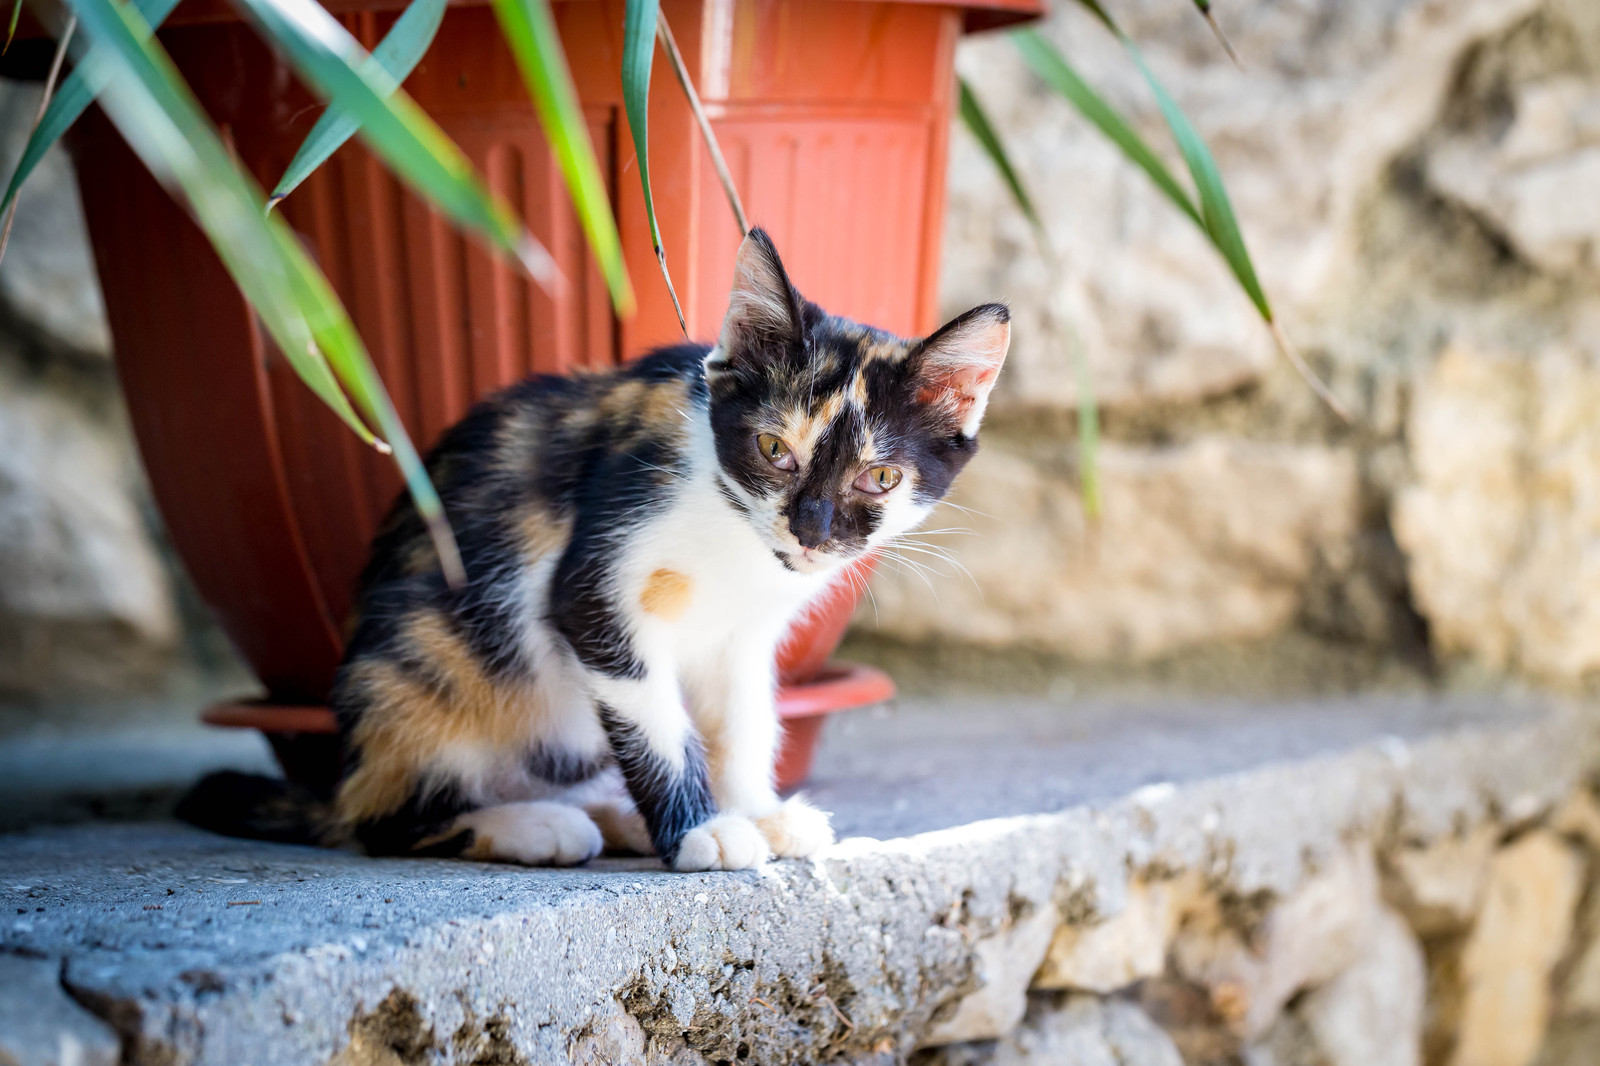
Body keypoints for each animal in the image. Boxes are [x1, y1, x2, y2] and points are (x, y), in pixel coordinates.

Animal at [187, 228, 1004, 870]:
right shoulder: (595, 584)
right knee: (382, 820)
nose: (811, 530)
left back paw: (613, 817)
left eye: (881, 477)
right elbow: (656, 722)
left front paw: (752, 808)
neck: (734, 530)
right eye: (774, 448)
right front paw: (703, 831)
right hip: (422, 661)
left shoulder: (743, 636)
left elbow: (741, 717)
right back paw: (536, 825)